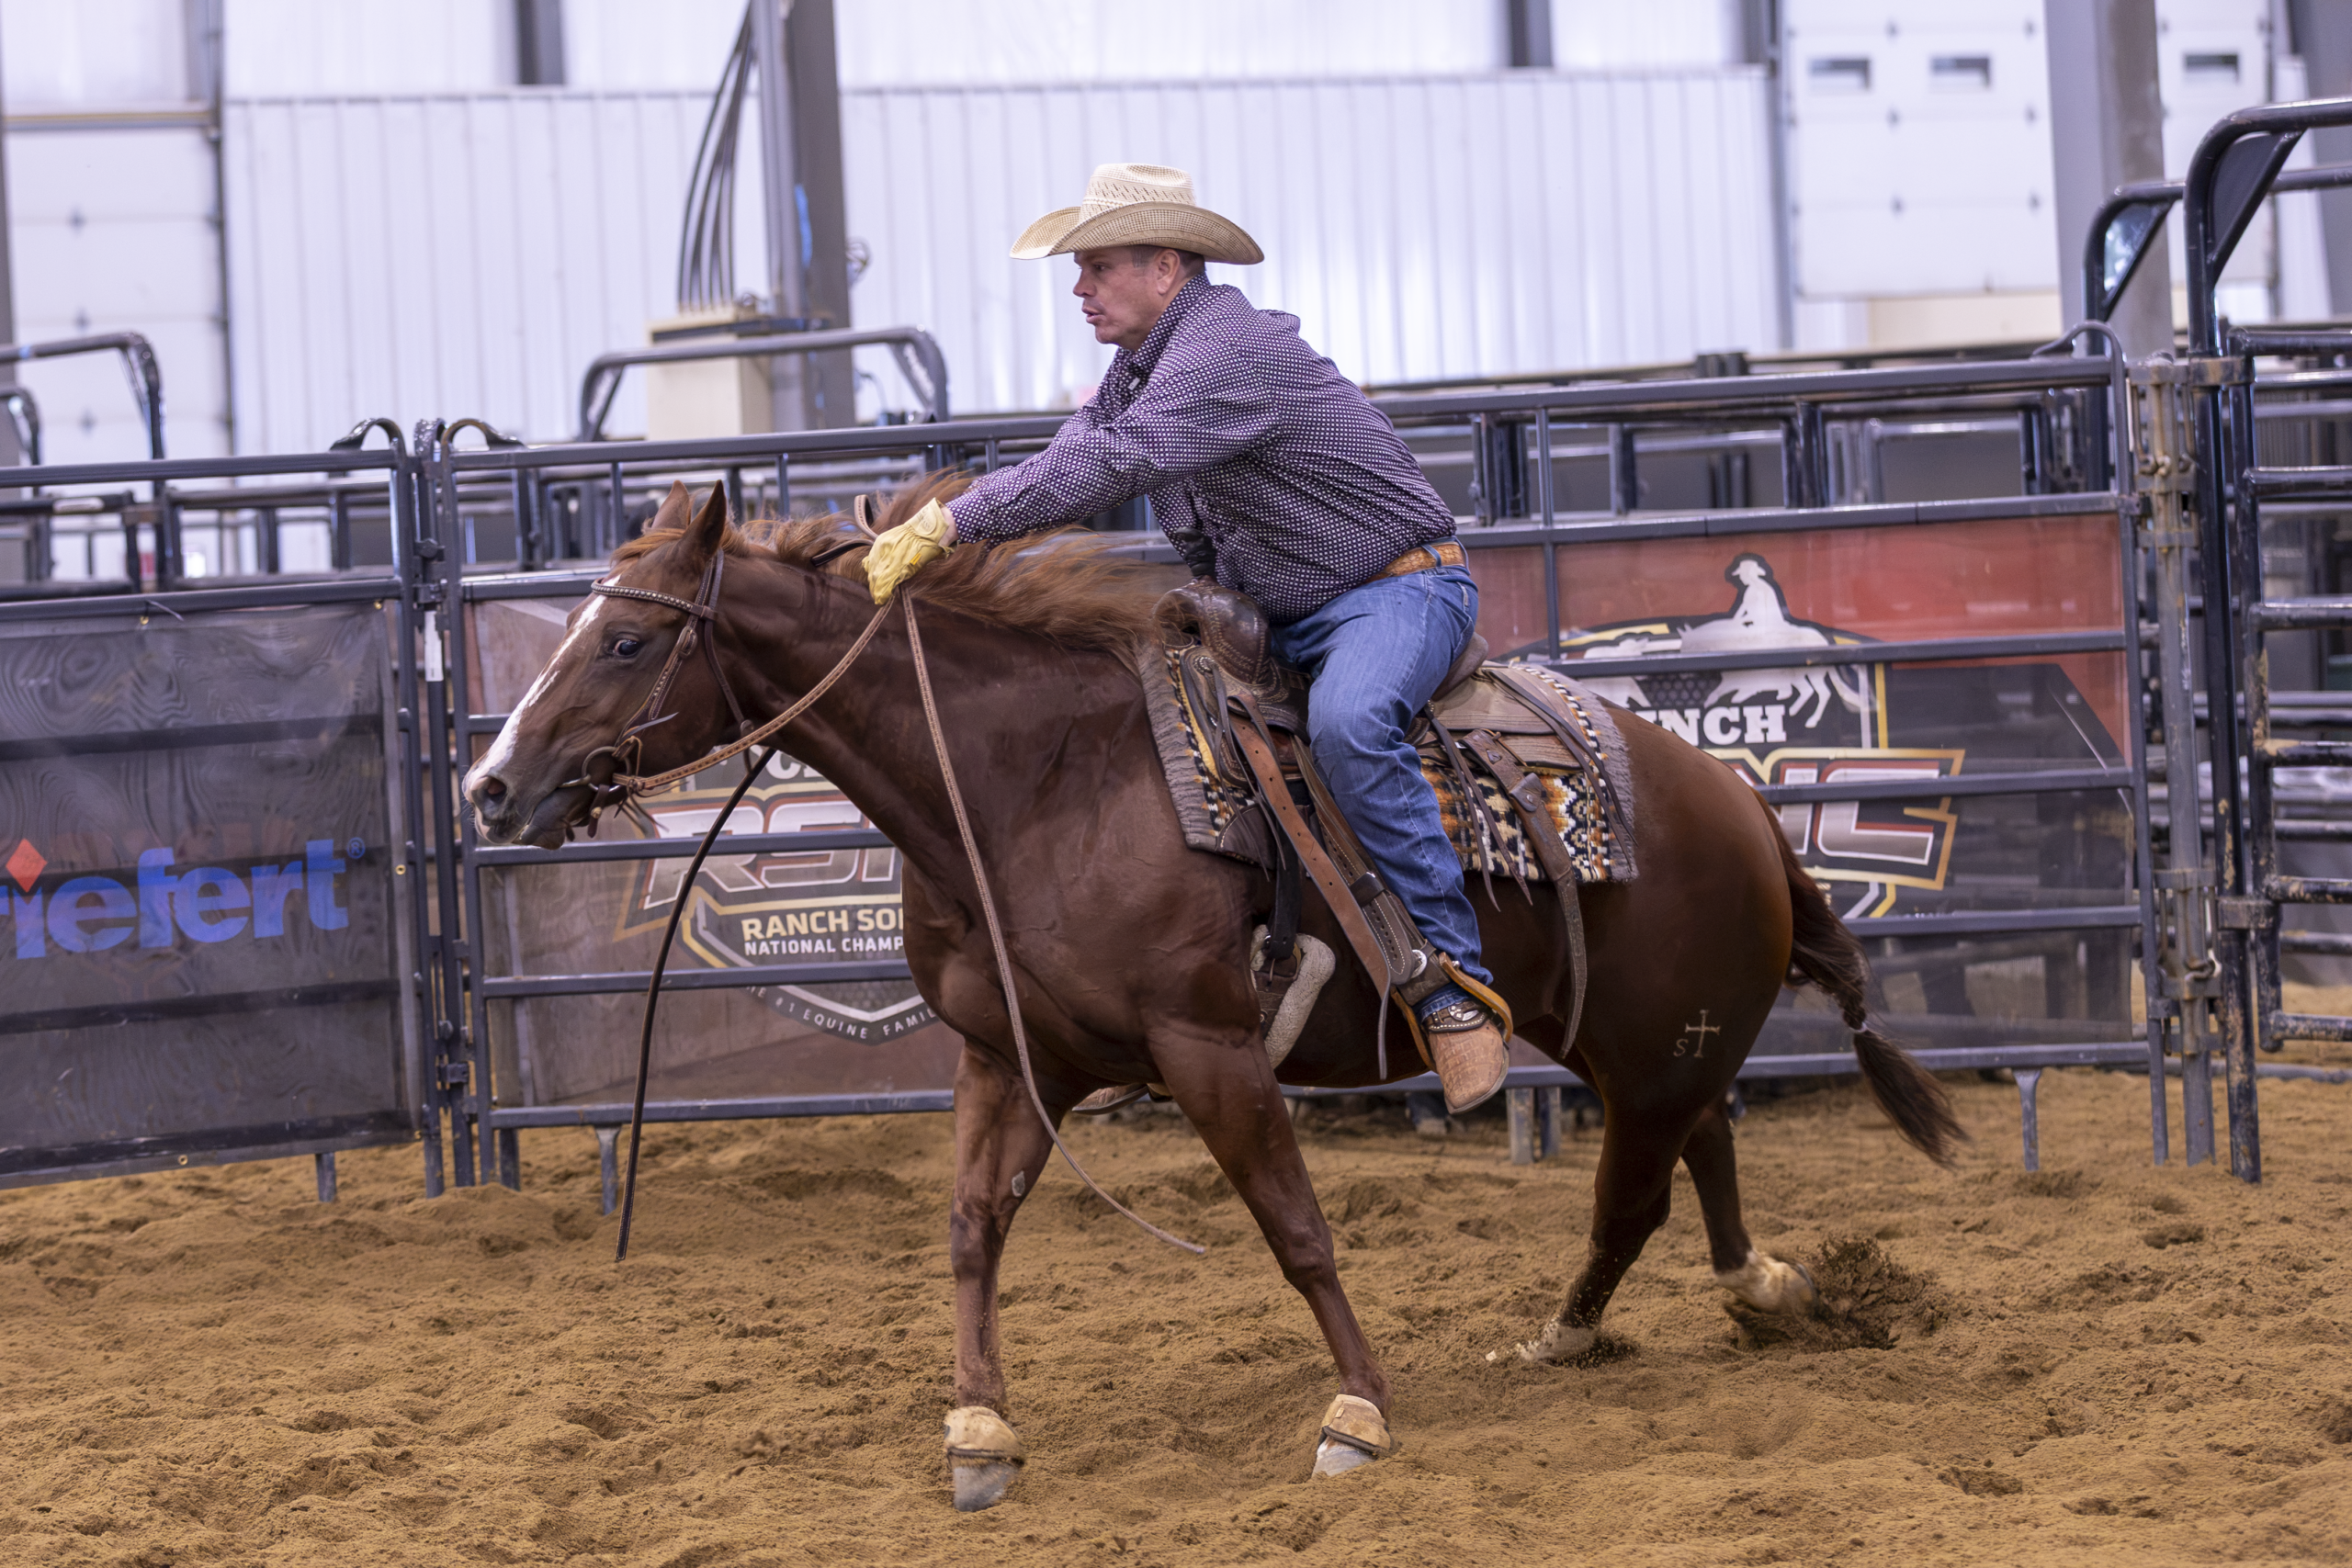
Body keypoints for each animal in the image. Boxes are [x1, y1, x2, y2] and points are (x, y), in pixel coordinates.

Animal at [463, 476, 1964, 1511]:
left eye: (624, 645)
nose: (488, 787)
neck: (1033, 782)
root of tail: (1741, 803)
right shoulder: (1013, 1054)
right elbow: (968, 1228)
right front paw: (979, 1432)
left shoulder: (1209, 1046)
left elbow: (1296, 1229)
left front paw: (1358, 1410)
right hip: (1630, 1038)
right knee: (1697, 1148)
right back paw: (1746, 1291)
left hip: (1647, 1043)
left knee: (1639, 1185)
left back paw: (1592, 1326)